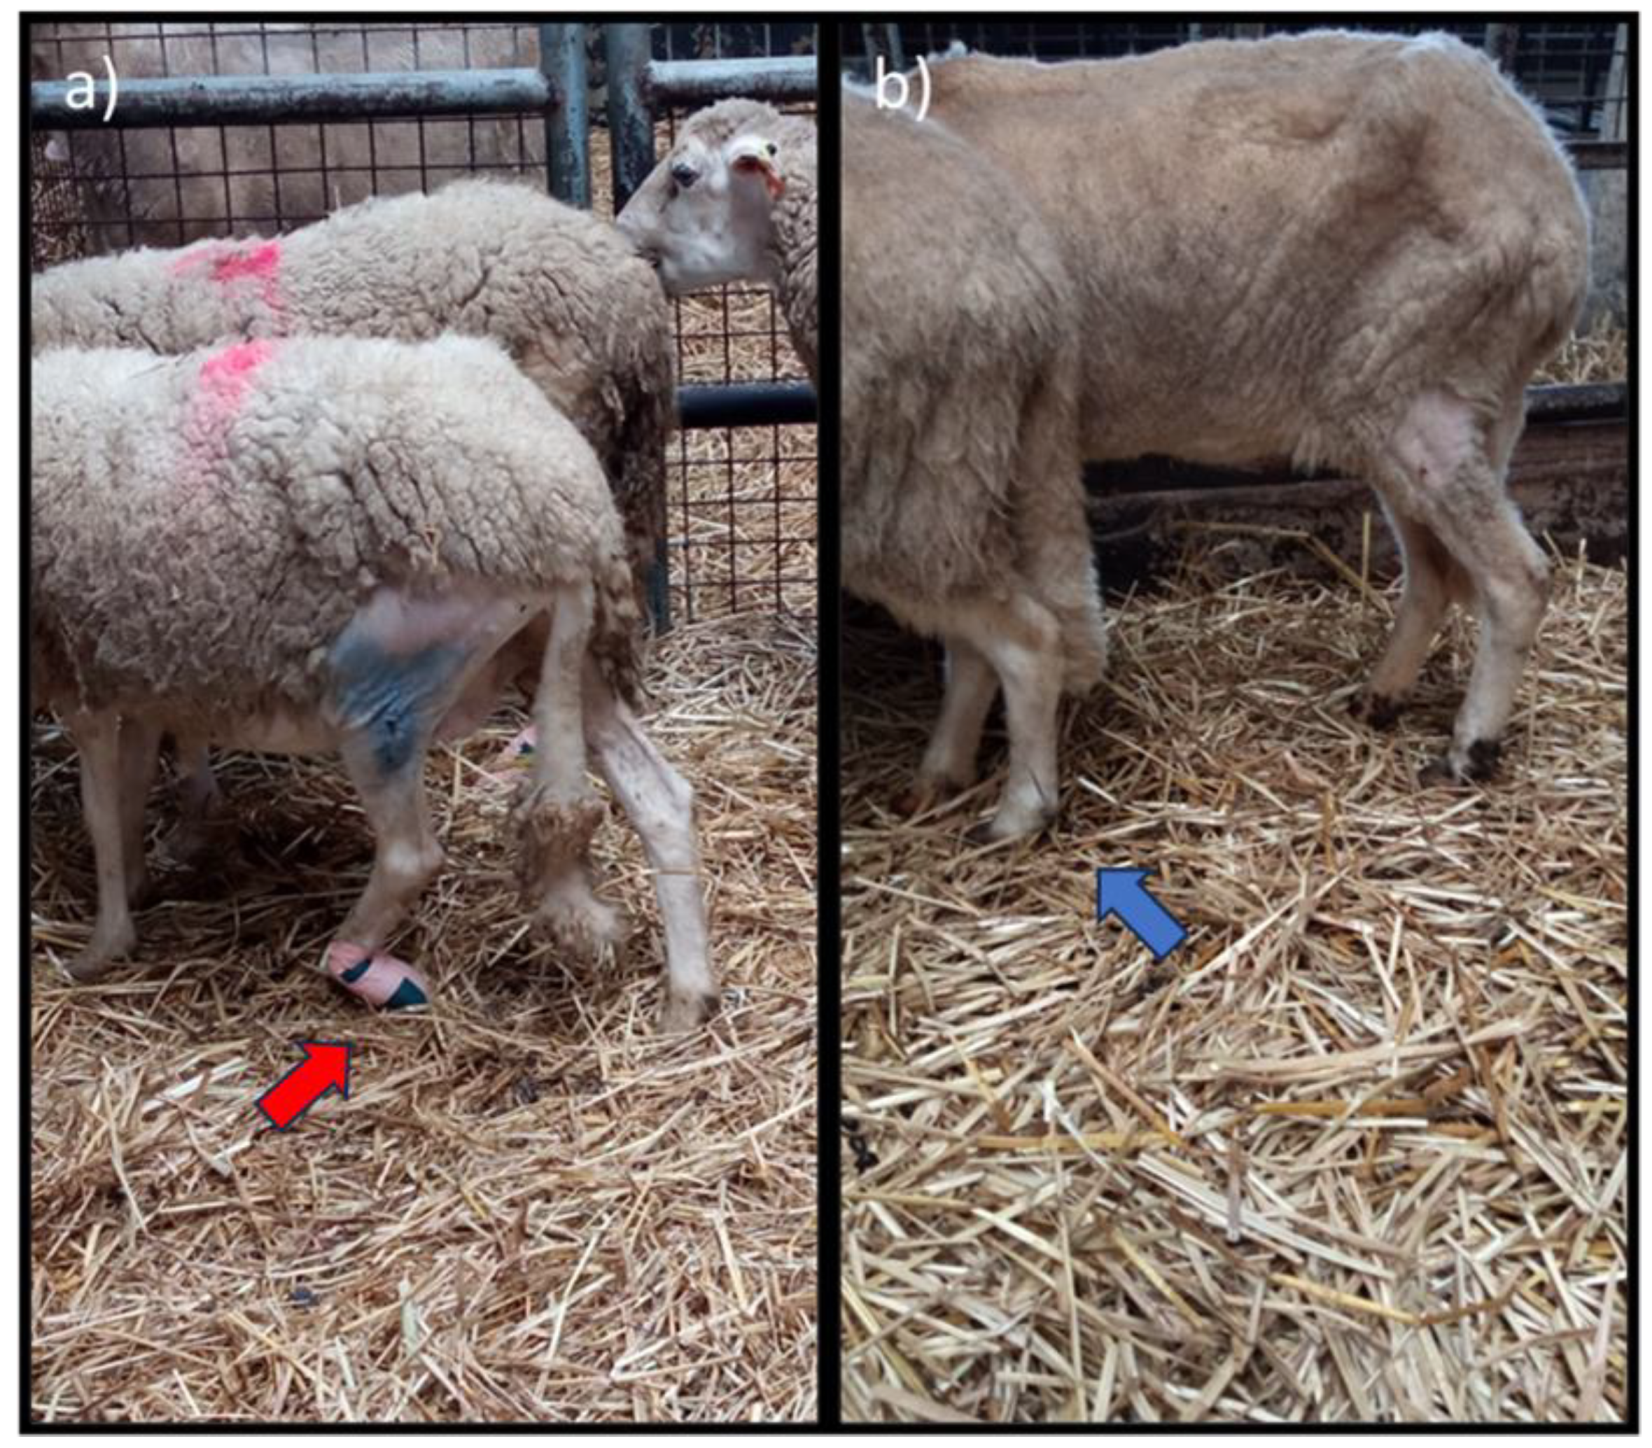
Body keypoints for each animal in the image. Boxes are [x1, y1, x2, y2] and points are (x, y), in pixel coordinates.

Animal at [32, 334, 717, 1032]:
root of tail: (570, 520)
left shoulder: (69, 667)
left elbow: (99, 808)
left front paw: (100, 946)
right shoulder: (129, 667)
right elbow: (129, 788)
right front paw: (138, 885)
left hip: (382, 694)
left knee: (411, 855)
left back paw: (345, 953)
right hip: (561, 659)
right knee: (660, 798)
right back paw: (686, 1000)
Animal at [840, 90, 1107, 840]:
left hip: (909, 473)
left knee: (1025, 636)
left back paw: (1020, 811)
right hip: (988, 457)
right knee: (978, 636)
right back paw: (942, 775)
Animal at [919, 31, 1591, 783]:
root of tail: (1553, 178)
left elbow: (970, 633)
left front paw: (945, 769)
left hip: (1422, 375)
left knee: (1517, 577)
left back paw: (1469, 748)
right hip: (1414, 395)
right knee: (1434, 572)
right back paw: (1380, 697)